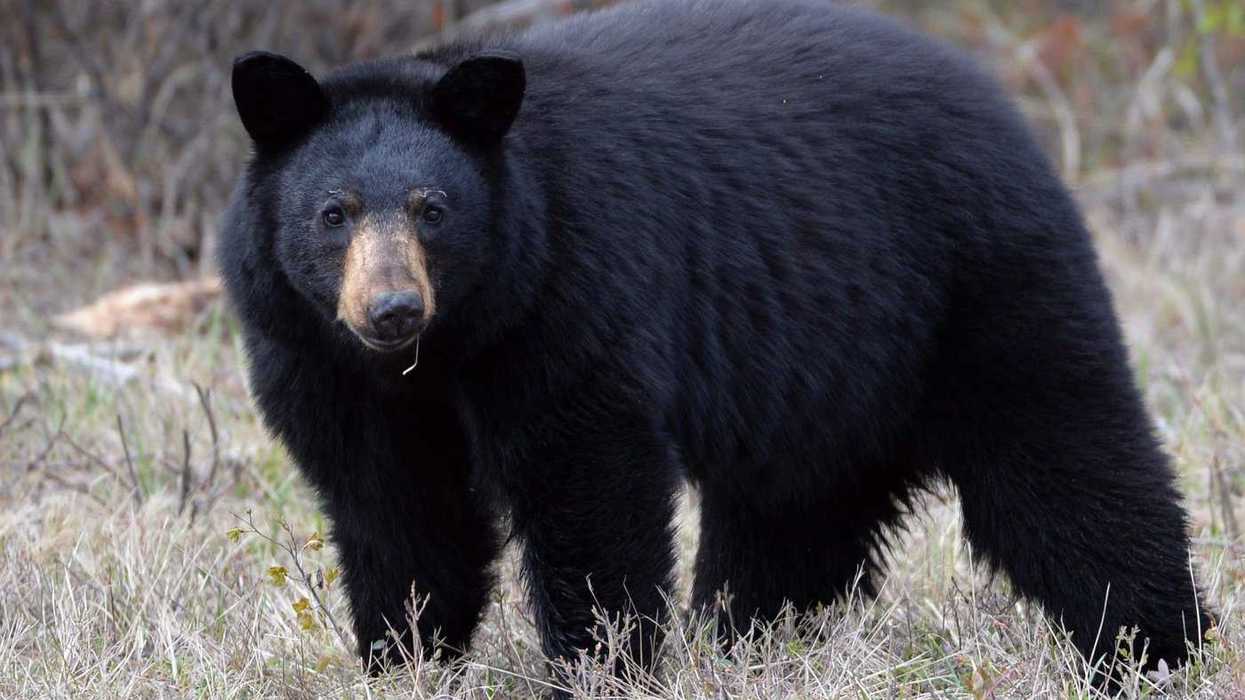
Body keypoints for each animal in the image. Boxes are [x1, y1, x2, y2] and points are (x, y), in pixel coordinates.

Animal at [219, 0, 1208, 686]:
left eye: (433, 210)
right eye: (333, 213)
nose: (391, 309)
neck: (447, 347)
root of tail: (998, 106)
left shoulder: (567, 297)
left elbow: (587, 482)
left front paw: (599, 665)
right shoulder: (319, 362)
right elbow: (398, 510)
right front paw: (407, 656)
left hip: (977, 287)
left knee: (1067, 463)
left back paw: (1155, 647)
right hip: (824, 377)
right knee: (791, 521)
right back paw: (750, 641)